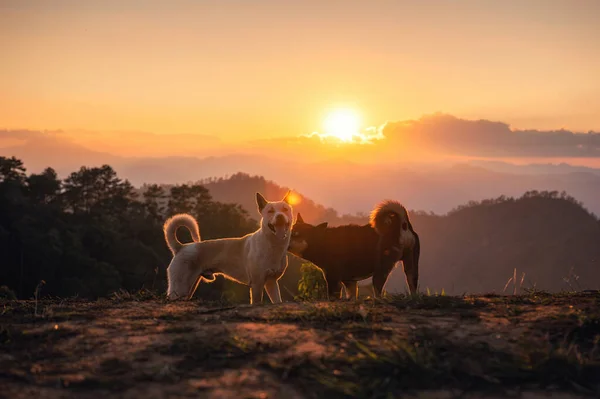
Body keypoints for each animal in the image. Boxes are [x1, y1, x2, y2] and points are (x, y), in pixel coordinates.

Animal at [163, 191, 294, 304]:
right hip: (179, 288)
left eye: (285, 209)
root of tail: (181, 247)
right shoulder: (257, 284)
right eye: (270, 211)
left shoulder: (272, 282)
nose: (280, 216)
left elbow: (277, 300)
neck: (272, 245)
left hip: (189, 288)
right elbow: (256, 302)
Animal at [288, 200, 420, 300]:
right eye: (290, 230)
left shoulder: (333, 279)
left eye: (296, 234)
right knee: (413, 287)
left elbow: (332, 297)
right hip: (411, 266)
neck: (322, 241)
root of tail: (401, 225)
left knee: (378, 292)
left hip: (381, 269)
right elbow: (351, 297)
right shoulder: (349, 281)